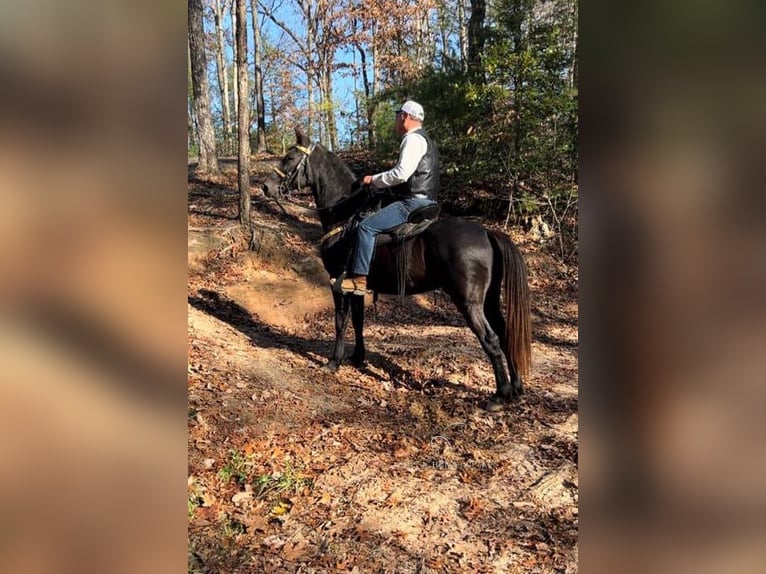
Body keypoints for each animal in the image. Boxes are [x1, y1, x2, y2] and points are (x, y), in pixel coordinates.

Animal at [260, 129, 532, 410]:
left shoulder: (337, 283)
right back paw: (516, 388)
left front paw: (334, 362)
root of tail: (487, 233)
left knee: (490, 339)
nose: (266, 187)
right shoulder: (358, 286)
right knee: (505, 333)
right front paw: (358, 357)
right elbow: (358, 321)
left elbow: (340, 322)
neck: (345, 217)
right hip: (489, 300)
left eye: (290, 157)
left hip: (469, 303)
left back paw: (499, 395)